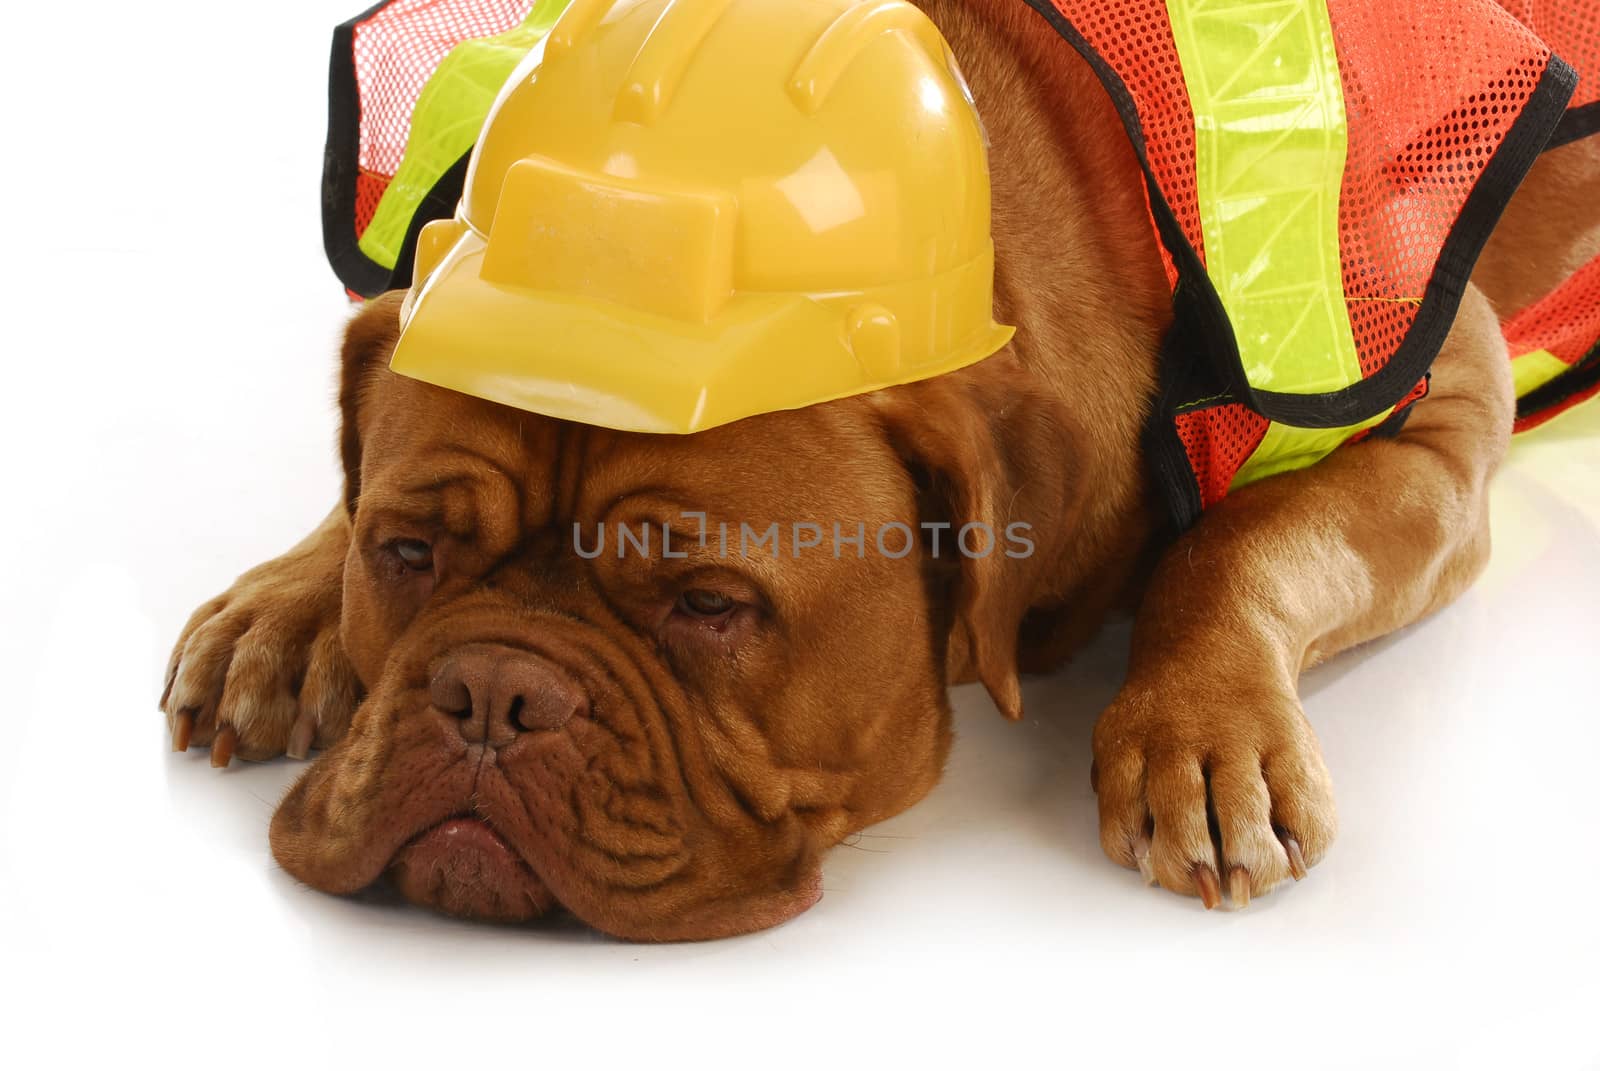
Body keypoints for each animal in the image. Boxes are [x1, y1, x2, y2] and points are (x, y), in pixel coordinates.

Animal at [159, 0, 1600, 934]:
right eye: (405, 554)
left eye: (710, 605)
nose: (489, 693)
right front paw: (286, 604)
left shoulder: (1437, 413)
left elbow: (1235, 543)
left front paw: (1200, 728)